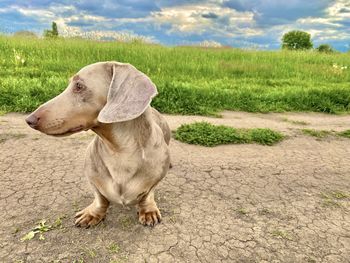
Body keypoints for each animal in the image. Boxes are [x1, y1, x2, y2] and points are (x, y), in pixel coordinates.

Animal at [25, 61, 170, 227]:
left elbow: (148, 194)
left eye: (79, 86)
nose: (29, 120)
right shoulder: (92, 178)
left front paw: (148, 210)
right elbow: (100, 197)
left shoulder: (157, 176)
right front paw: (93, 213)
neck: (120, 151)